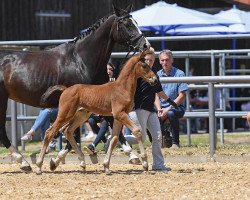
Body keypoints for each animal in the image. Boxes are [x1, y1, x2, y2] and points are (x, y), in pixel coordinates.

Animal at [0, 2, 148, 172]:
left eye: (136, 22)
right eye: (127, 24)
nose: (146, 45)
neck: (81, 60)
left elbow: (108, 125)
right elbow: (73, 133)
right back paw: (23, 162)